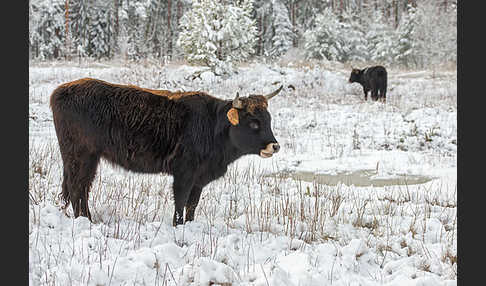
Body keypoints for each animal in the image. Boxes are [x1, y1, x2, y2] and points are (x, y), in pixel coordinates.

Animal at [49, 78, 282, 226]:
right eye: (253, 122)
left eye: (268, 120)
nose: (275, 146)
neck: (212, 125)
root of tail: (61, 90)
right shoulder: (184, 174)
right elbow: (180, 202)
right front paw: (177, 226)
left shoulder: (199, 179)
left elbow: (192, 205)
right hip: (80, 156)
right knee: (77, 187)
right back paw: (86, 221)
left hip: (89, 159)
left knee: (82, 188)